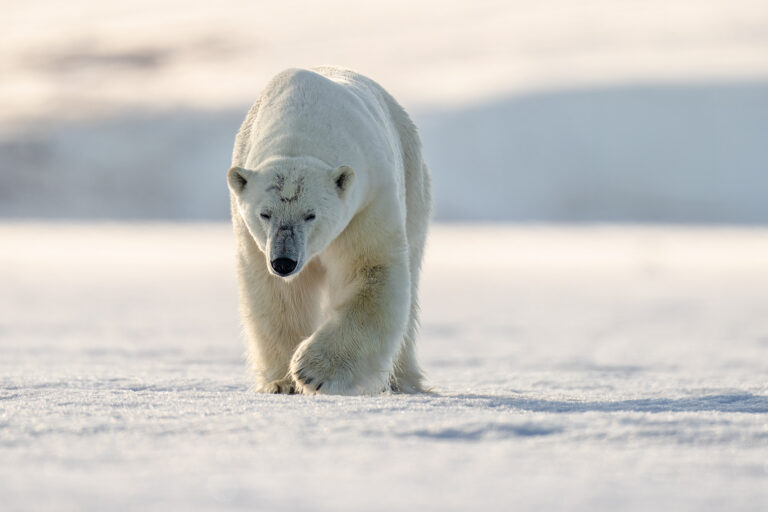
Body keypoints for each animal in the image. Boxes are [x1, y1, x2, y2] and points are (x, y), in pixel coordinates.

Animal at [228, 67, 432, 396]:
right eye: (265, 214)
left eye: (311, 215)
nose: (284, 262)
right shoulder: (253, 236)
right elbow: (278, 295)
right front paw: (282, 383)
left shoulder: (367, 200)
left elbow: (371, 270)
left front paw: (312, 371)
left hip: (413, 184)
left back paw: (403, 382)